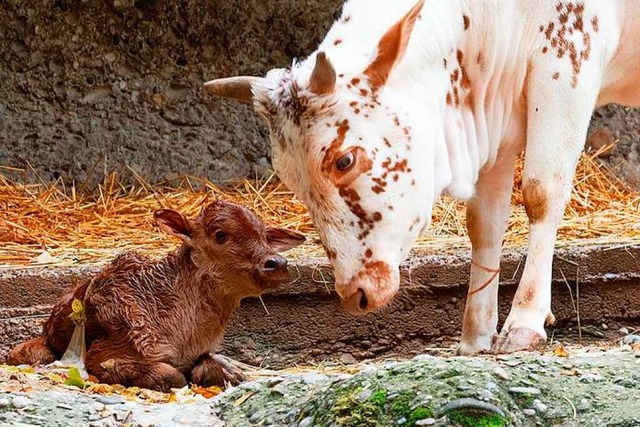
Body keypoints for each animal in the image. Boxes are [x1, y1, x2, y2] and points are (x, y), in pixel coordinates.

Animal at [6, 202, 304, 392]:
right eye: (221, 235)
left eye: (265, 236)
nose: (277, 263)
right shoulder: (104, 354)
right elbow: (173, 375)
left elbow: (216, 368)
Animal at [204, 0, 640, 354]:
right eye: (288, 176)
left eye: (344, 160)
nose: (355, 292)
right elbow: (485, 222)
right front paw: (476, 334)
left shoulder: (568, 60)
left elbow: (540, 191)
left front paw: (524, 323)